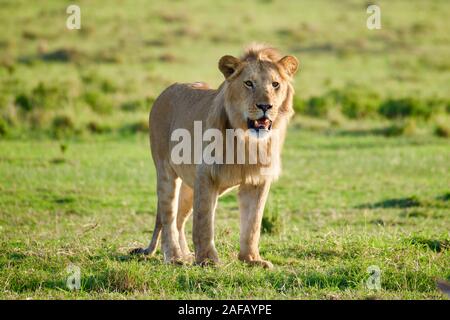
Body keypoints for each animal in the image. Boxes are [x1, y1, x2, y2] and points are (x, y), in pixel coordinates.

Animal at [132, 42, 300, 268]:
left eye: (275, 84)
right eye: (249, 83)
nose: (265, 106)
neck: (246, 140)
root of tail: (164, 92)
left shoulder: (257, 180)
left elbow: (253, 224)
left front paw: (252, 259)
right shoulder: (206, 175)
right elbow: (203, 221)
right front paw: (207, 260)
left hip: (189, 184)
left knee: (179, 220)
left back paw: (186, 255)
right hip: (166, 171)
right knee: (168, 217)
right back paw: (174, 256)